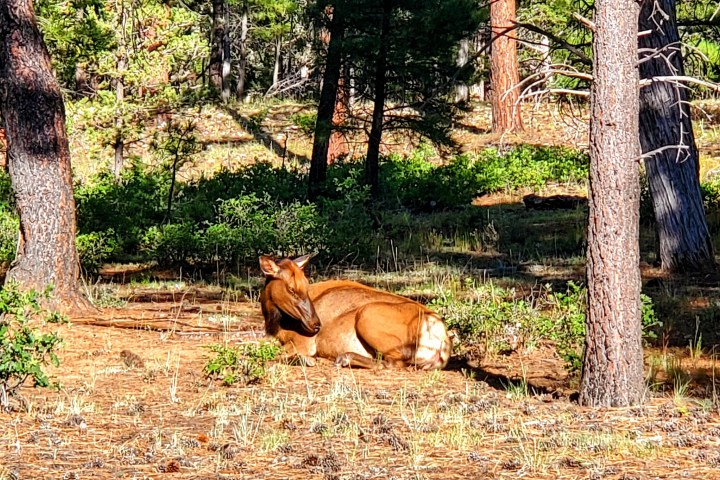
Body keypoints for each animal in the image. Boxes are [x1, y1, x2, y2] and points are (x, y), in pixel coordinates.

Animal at [259, 255, 451, 370]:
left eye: (306, 285)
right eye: (291, 289)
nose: (315, 324)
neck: (275, 324)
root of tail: (441, 338)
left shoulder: (303, 342)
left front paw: (306, 359)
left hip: (367, 315)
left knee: (390, 363)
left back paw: (343, 358)